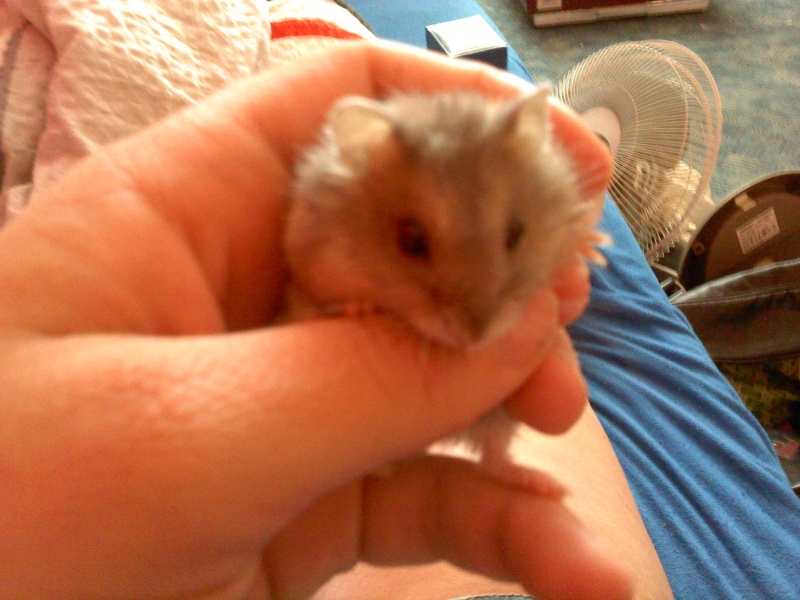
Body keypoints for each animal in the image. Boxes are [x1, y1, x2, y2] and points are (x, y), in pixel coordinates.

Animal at [283, 87, 609, 495]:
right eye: (410, 239)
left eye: (517, 230)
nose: (475, 339)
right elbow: (312, 303)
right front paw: (357, 308)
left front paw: (594, 249)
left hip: (500, 420)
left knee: (493, 460)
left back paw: (547, 485)